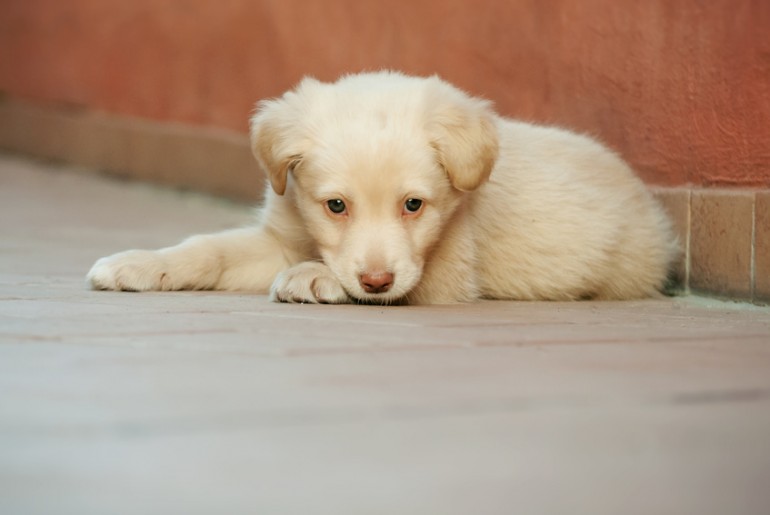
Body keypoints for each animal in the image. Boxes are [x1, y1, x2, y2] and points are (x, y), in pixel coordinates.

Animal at [88, 73, 680, 306]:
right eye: (335, 206)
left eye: (414, 205)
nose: (376, 282)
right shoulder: (280, 236)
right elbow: (208, 249)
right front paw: (143, 263)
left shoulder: (444, 275)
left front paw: (313, 276)